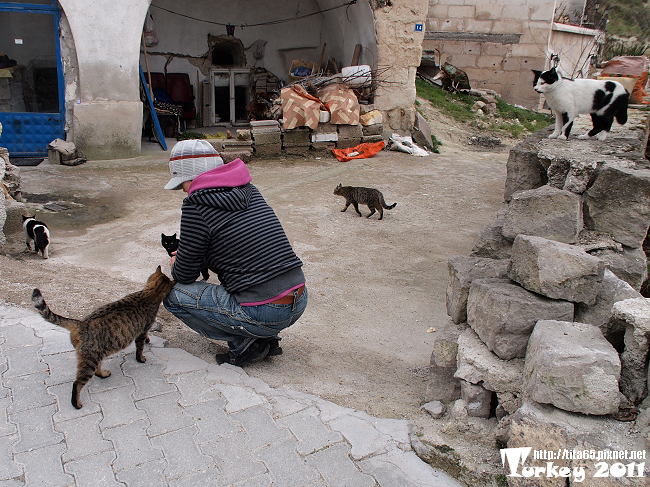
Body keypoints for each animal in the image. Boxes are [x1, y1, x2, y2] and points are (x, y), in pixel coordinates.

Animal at [31, 264, 175, 410]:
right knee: (77, 383)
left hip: (97, 355)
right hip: (89, 361)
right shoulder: (142, 330)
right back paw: (76, 404)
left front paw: (148, 340)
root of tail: (82, 324)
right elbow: (139, 348)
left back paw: (104, 374)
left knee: (96, 371)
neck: (149, 293)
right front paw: (141, 358)